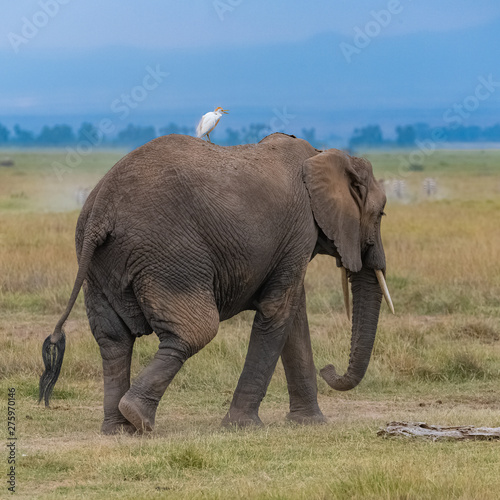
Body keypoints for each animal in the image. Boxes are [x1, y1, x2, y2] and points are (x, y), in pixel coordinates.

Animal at [39, 133, 392, 434]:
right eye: (381, 214)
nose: (329, 368)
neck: (320, 155)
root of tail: (101, 209)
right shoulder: (300, 229)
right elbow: (278, 310)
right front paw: (243, 426)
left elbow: (293, 316)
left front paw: (310, 423)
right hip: (170, 256)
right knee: (196, 330)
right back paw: (138, 418)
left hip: (98, 264)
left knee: (113, 339)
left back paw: (118, 429)